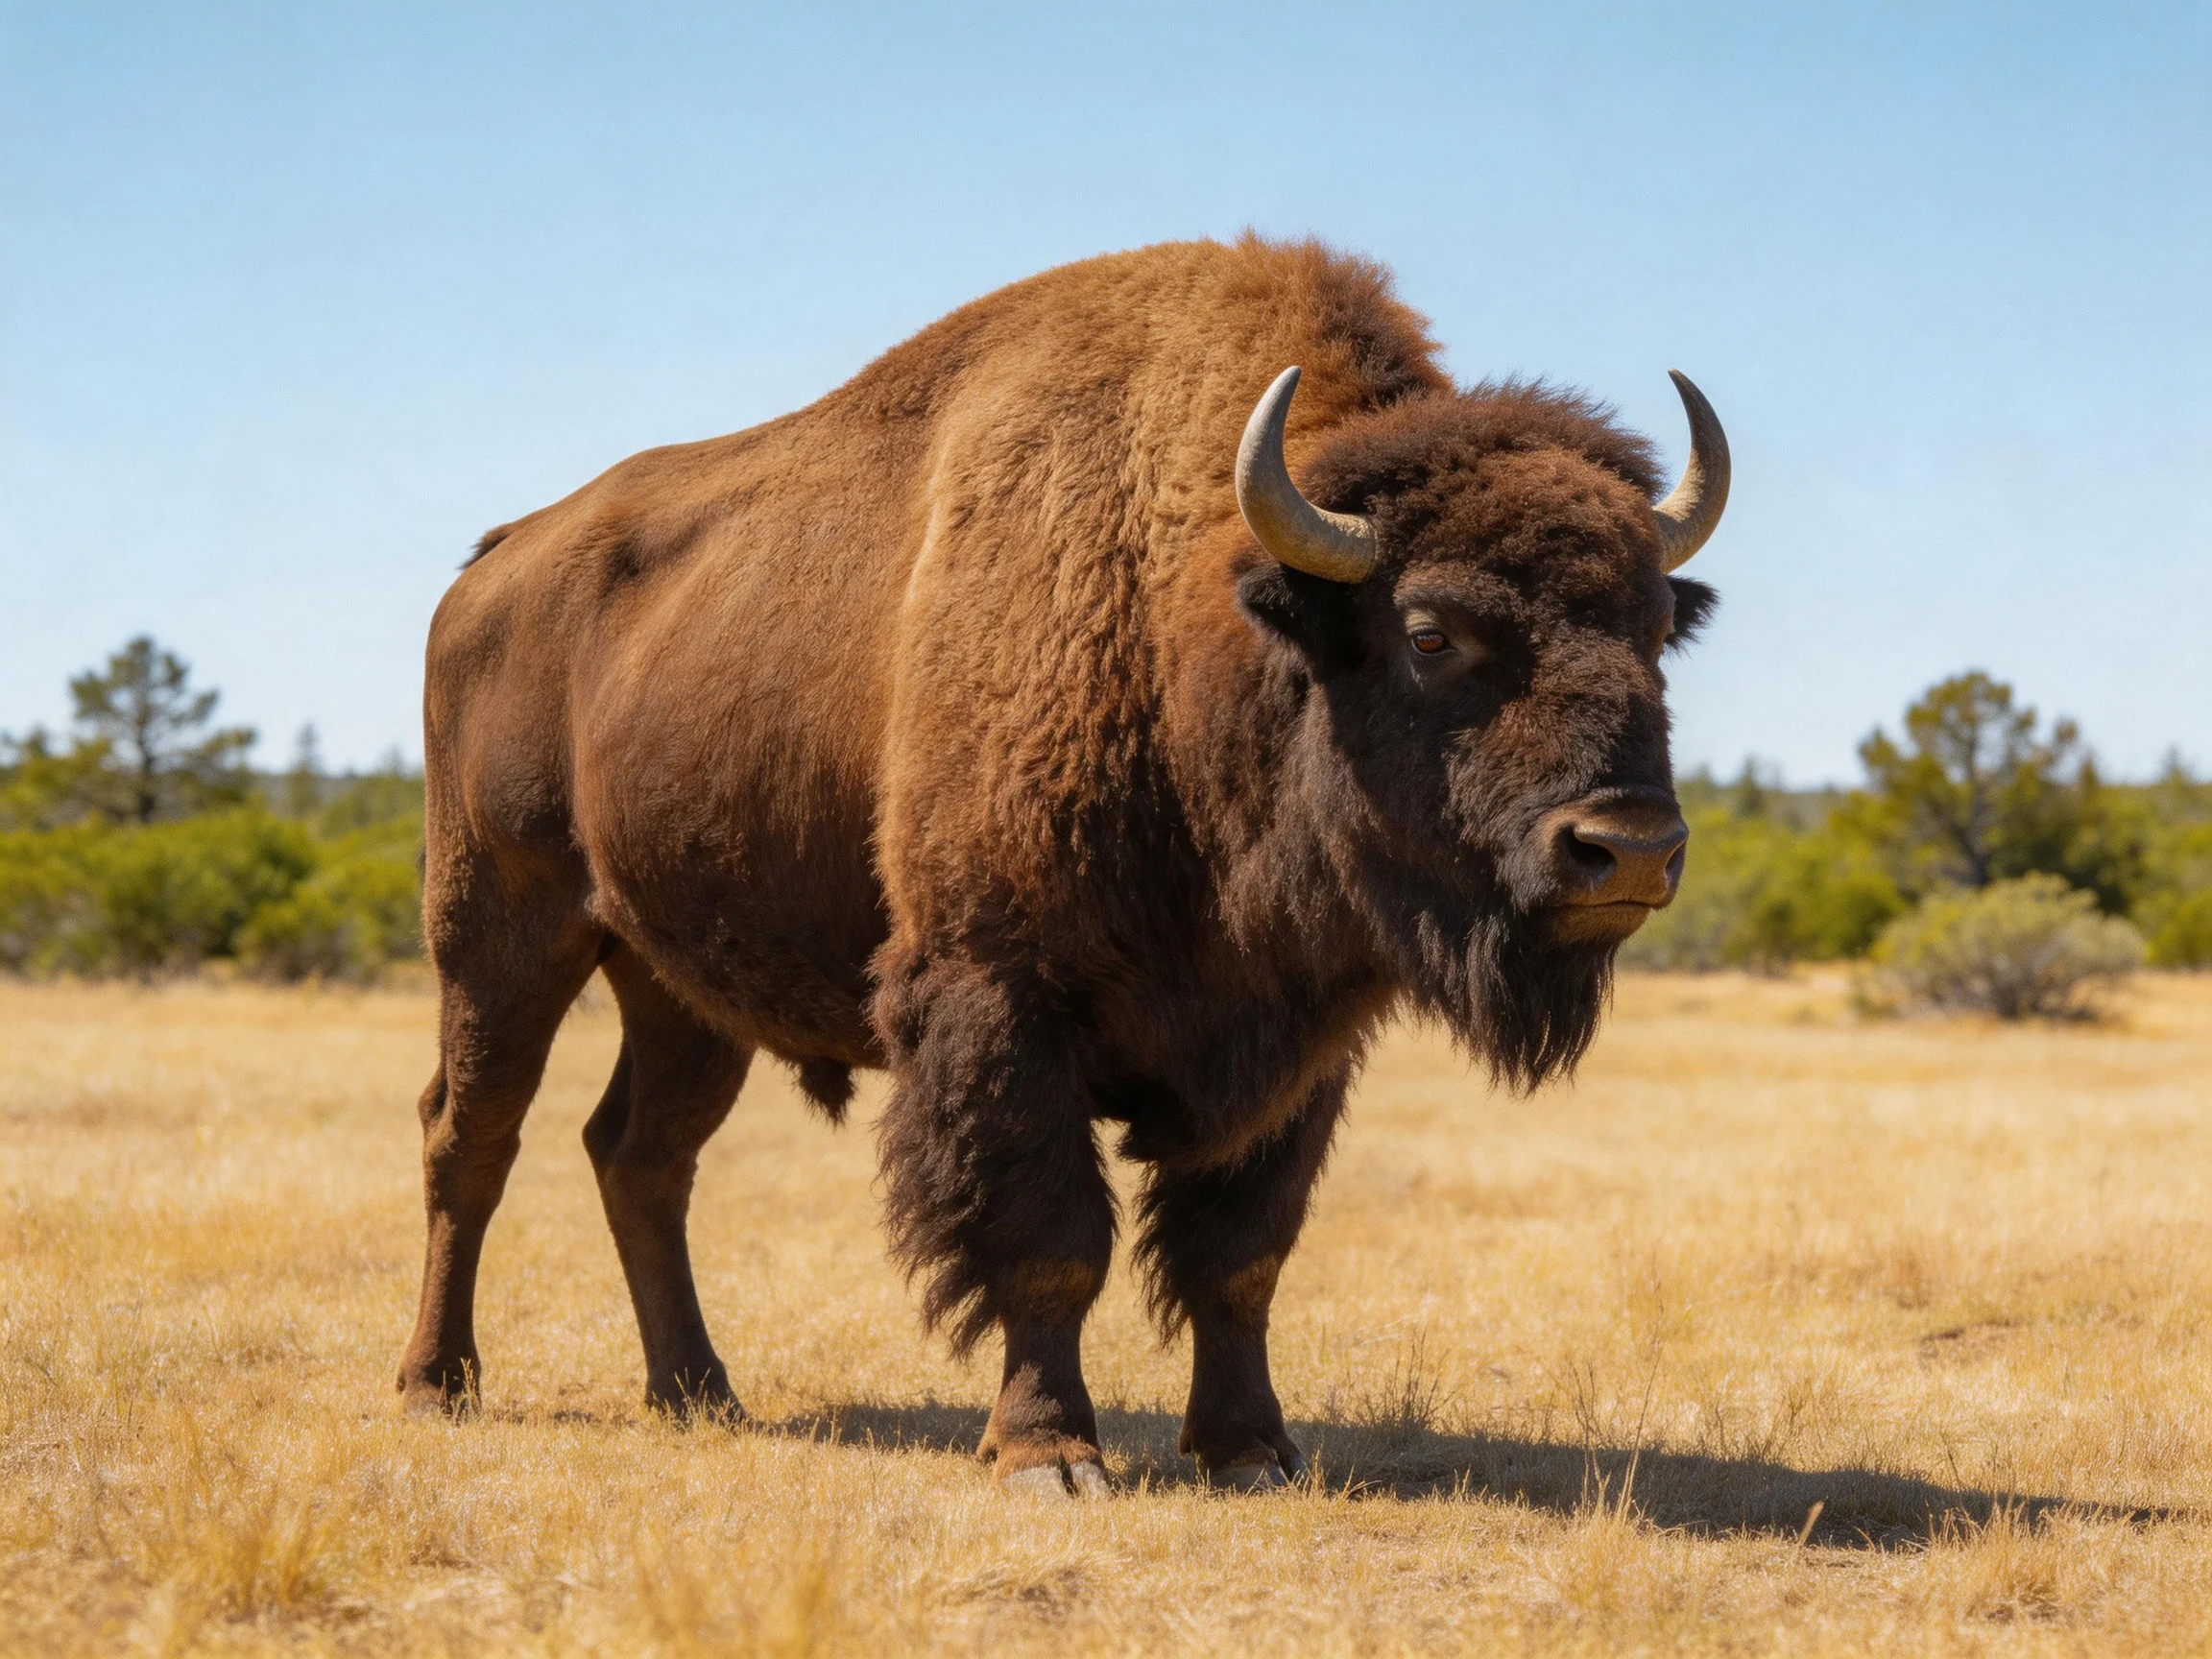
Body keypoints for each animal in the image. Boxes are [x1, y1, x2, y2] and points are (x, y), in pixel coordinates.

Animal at [398, 235, 1728, 1496]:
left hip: (679, 991)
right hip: (500, 932)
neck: (1198, 622)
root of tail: (491, 568)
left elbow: (1240, 1253)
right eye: (1431, 632)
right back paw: (437, 1385)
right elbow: (1051, 1240)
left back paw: (697, 1393)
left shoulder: (1294, 1046)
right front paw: (1051, 1455)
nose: (1627, 845)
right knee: (472, 1136)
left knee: (640, 1156)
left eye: (1658, 626)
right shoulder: (1000, 998)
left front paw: (1252, 1450)